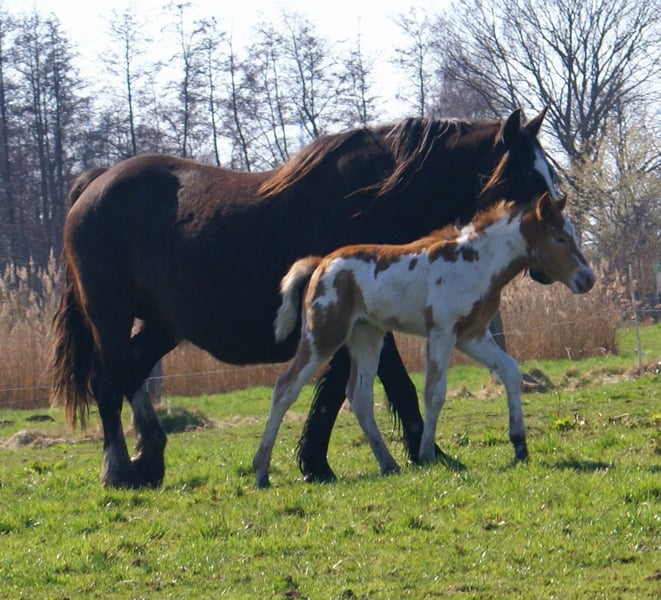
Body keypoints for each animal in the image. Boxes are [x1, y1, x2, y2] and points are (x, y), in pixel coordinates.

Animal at [253, 192, 595, 487]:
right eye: (559, 238)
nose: (588, 279)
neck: (477, 262)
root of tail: (320, 264)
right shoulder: (442, 332)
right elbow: (434, 392)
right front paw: (428, 454)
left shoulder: (471, 335)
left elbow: (510, 371)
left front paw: (520, 444)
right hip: (323, 336)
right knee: (285, 387)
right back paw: (261, 472)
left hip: (367, 336)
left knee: (359, 396)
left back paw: (388, 464)